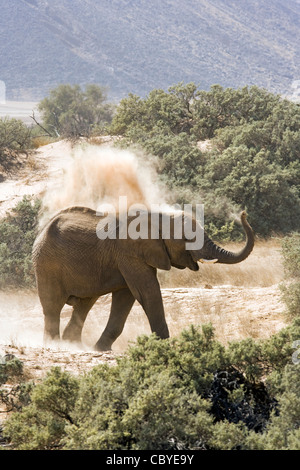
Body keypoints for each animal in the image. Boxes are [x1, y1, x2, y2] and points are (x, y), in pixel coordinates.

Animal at [32, 206, 253, 348]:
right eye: (187, 239)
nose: (244, 213)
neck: (156, 216)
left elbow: (126, 297)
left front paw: (100, 350)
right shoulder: (130, 254)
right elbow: (148, 293)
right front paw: (165, 348)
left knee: (84, 305)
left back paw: (75, 346)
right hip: (46, 264)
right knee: (53, 307)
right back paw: (55, 346)